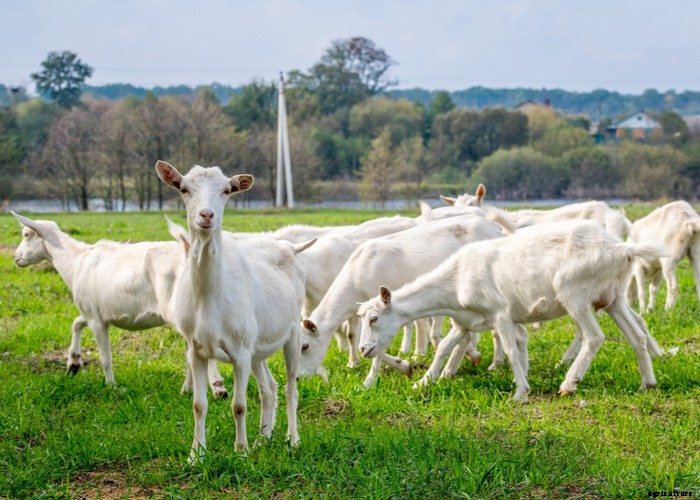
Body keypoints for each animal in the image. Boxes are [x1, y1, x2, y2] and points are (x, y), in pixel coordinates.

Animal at [11, 211, 228, 397]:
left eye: (27, 235)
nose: (16, 258)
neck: (75, 262)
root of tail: (188, 252)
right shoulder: (94, 312)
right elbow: (76, 323)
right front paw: (73, 363)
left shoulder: (96, 319)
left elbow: (105, 357)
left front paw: (112, 386)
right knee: (191, 352)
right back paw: (188, 390)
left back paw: (217, 386)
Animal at [156, 160, 307, 460]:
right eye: (183, 189)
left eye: (227, 190)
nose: (206, 214)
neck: (211, 299)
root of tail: (290, 249)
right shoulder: (197, 348)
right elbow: (198, 404)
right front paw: (196, 455)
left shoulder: (240, 350)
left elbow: (239, 405)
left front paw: (241, 452)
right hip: (257, 347)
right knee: (269, 388)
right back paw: (263, 439)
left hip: (291, 332)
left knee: (290, 388)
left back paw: (292, 441)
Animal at [358, 220, 664, 402]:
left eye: (374, 319)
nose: (363, 350)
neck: (455, 281)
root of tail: (622, 248)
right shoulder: (465, 322)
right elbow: (444, 347)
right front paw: (422, 382)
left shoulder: (500, 314)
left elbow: (510, 350)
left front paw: (520, 392)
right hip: (613, 297)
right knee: (636, 335)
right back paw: (647, 383)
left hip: (574, 293)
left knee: (594, 337)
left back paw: (569, 383)